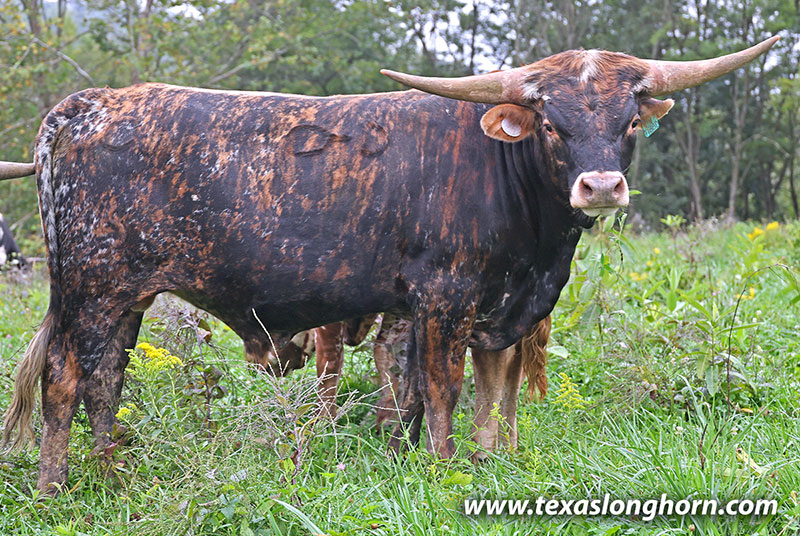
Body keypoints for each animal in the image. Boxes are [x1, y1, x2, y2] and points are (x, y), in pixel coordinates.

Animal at [0, 37, 777, 493]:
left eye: (629, 121)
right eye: (552, 123)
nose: (602, 186)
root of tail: (85, 105)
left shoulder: (504, 309)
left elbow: (495, 388)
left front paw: (490, 460)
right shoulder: (443, 297)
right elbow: (439, 389)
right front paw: (442, 469)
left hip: (125, 297)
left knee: (107, 382)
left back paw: (111, 476)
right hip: (92, 288)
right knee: (67, 381)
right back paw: (56, 487)